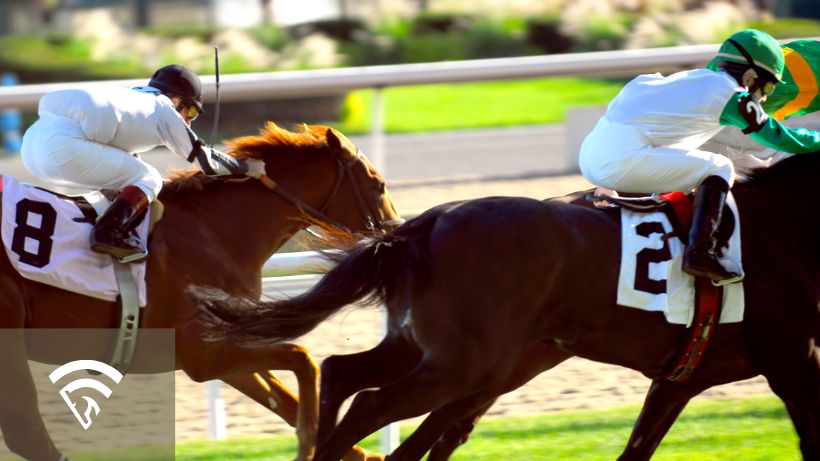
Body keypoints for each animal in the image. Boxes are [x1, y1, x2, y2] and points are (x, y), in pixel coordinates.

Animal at [0, 122, 400, 460]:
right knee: (26, 433)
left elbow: (282, 398)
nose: (397, 231)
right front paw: (309, 446)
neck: (217, 229)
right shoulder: (202, 353)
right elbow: (303, 359)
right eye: (378, 185)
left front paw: (363, 453)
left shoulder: (222, 349)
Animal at [200, 150, 820, 456]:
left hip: (432, 350)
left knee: (340, 373)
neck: (783, 226)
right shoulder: (795, 362)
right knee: (375, 405)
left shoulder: (679, 379)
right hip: (464, 363)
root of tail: (424, 225)